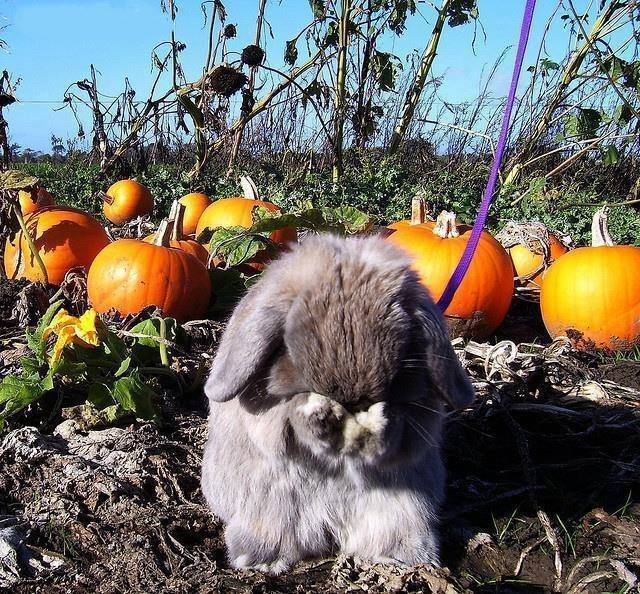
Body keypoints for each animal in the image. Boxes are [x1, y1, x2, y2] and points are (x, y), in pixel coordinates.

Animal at [201, 231, 476, 568]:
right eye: (289, 347)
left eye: (401, 347)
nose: (353, 401)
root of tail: (331, 525)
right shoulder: (267, 418)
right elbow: (289, 422)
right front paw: (319, 416)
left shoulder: (417, 423)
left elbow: (398, 435)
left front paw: (379, 422)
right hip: (271, 505)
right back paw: (257, 557)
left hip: (401, 509)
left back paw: (404, 557)